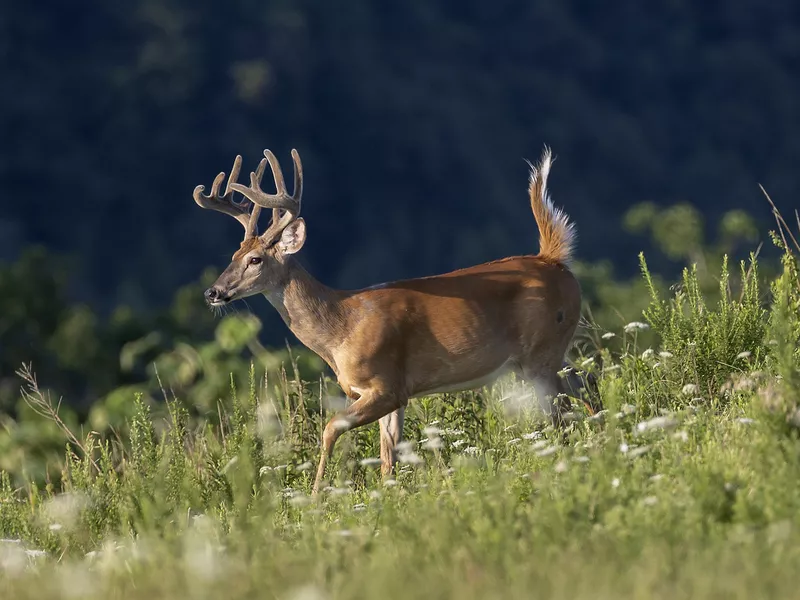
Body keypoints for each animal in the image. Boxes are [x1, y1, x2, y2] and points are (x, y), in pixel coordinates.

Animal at [194, 145, 600, 492]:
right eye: (234, 254)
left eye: (255, 260)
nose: (213, 292)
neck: (340, 327)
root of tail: (552, 259)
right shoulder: (395, 394)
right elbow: (388, 456)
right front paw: (388, 500)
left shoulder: (384, 385)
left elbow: (330, 428)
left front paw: (316, 496)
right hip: (550, 353)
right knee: (588, 382)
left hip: (540, 355)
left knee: (563, 412)